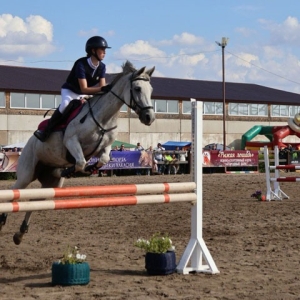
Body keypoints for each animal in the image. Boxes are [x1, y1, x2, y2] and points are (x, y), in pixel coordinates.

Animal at [0, 60, 155, 244]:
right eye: (137, 88)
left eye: (151, 90)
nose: (149, 117)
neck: (104, 118)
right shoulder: (71, 142)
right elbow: (80, 162)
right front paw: (76, 169)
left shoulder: (104, 146)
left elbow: (104, 158)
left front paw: (91, 168)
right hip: (26, 173)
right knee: (14, 193)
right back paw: (3, 220)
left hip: (52, 184)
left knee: (35, 201)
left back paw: (20, 233)